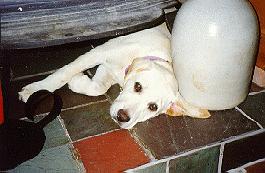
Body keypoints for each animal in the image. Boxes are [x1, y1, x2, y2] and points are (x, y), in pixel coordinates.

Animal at [18, 22, 210, 128]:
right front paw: (34, 91)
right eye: (137, 86)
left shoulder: (106, 68)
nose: (122, 117)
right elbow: (64, 73)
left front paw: (77, 81)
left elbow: (97, 88)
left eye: (153, 107)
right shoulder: (101, 53)